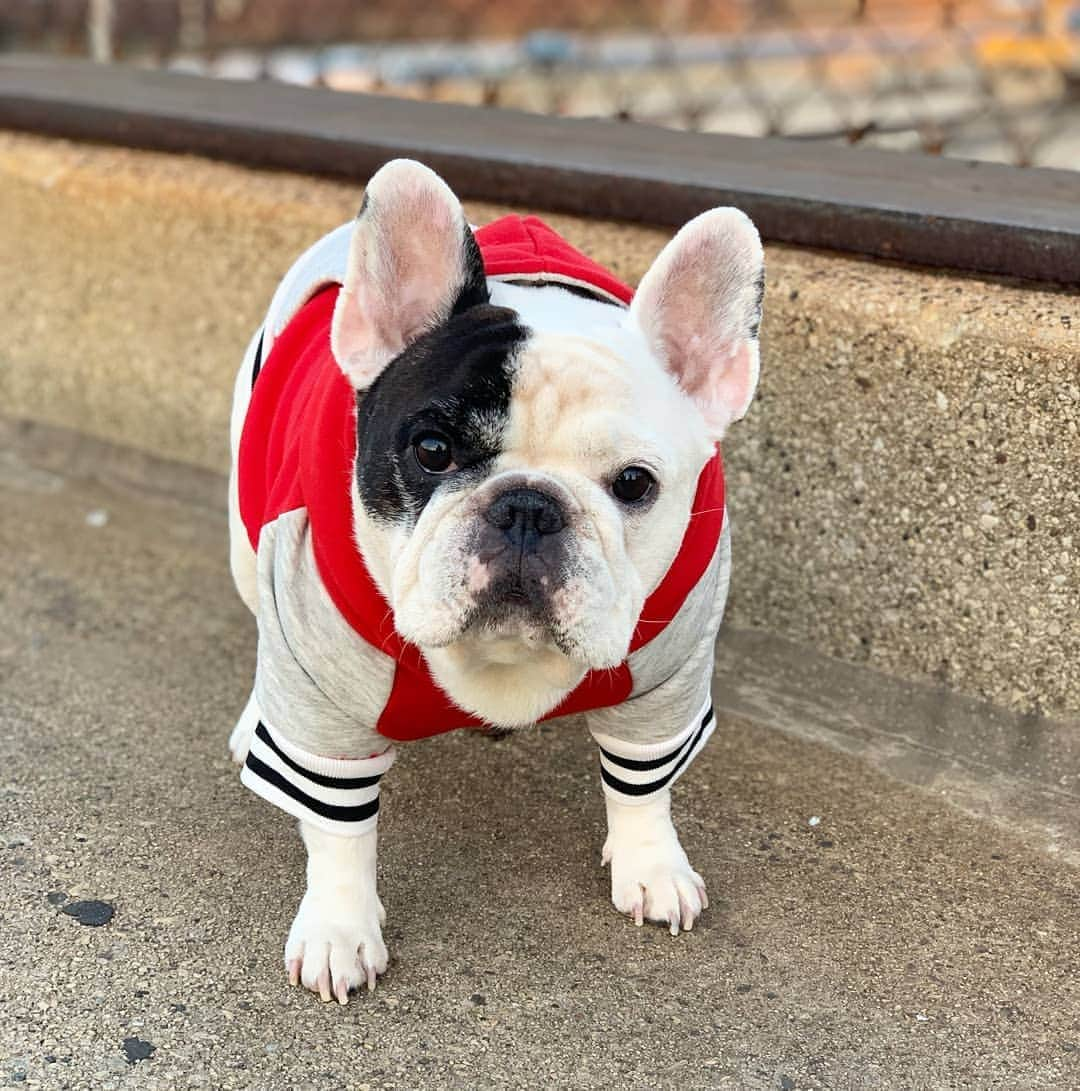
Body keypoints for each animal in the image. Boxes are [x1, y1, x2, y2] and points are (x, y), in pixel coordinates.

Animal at [228, 158, 763, 999]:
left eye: (635, 483)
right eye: (433, 449)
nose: (527, 506)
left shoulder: (667, 678)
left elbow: (645, 783)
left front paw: (650, 863)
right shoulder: (324, 696)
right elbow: (338, 826)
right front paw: (340, 927)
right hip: (248, 541)